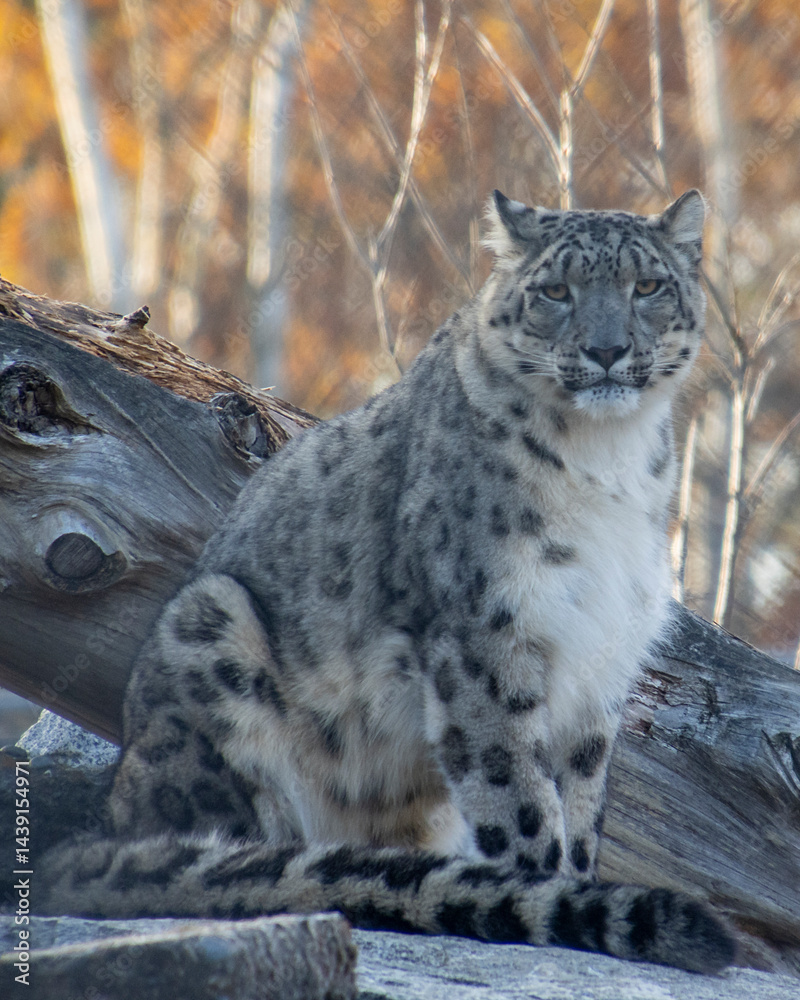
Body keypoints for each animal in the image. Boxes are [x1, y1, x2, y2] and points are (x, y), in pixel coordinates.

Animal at [39, 189, 736, 974]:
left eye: (647, 286)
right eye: (556, 292)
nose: (608, 349)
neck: (609, 461)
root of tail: (109, 814)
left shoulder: (603, 655)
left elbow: (582, 797)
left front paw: (577, 881)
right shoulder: (483, 637)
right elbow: (518, 789)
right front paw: (547, 889)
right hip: (211, 624)